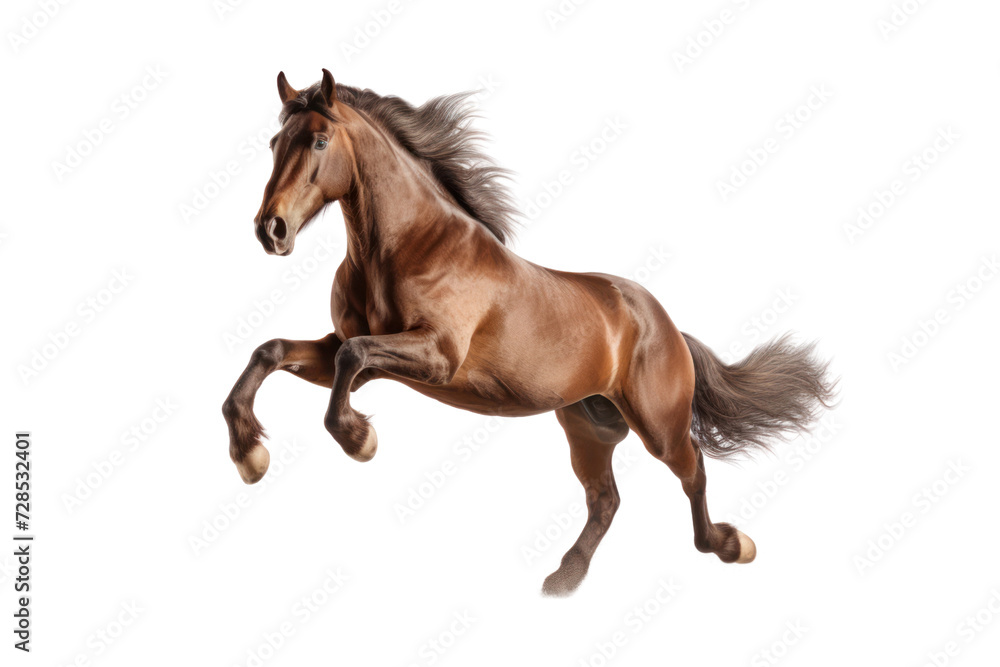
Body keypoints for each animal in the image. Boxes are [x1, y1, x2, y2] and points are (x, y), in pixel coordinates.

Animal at [222, 69, 835, 596]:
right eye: (275, 143)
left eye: (320, 141)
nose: (270, 229)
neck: (406, 246)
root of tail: (666, 324)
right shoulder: (354, 357)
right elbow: (272, 352)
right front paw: (250, 454)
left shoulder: (435, 355)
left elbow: (350, 360)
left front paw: (358, 439)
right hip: (589, 426)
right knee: (605, 500)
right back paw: (564, 579)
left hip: (658, 425)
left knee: (694, 471)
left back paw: (731, 545)